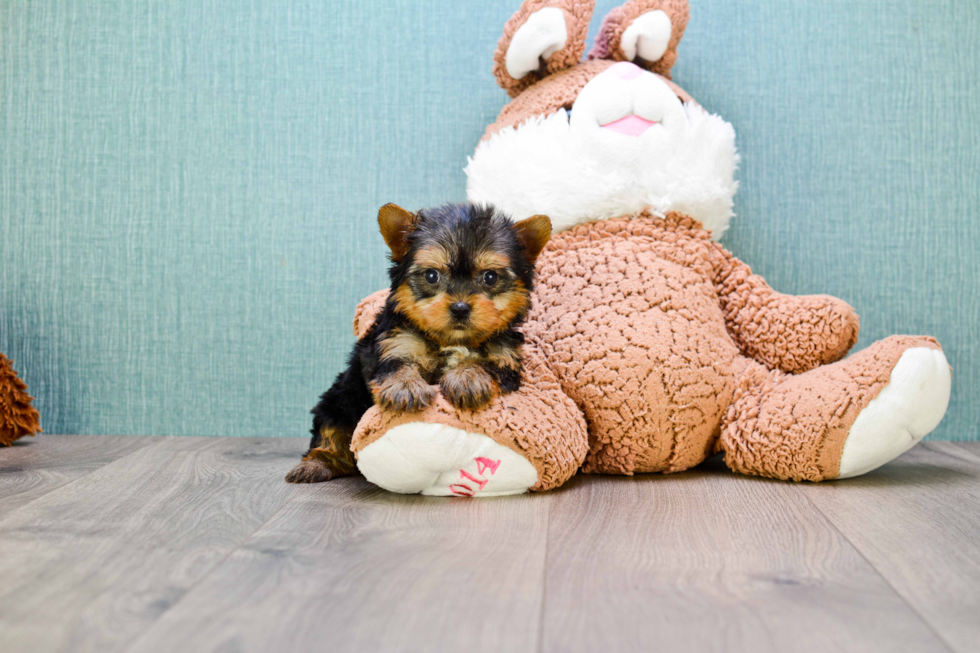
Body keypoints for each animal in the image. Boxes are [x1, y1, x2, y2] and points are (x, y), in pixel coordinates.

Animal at [288, 204, 556, 484]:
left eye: (490, 277)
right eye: (431, 275)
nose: (460, 308)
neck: (450, 340)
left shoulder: (505, 357)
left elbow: (484, 364)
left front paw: (467, 378)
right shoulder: (393, 343)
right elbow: (397, 365)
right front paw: (405, 388)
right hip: (339, 401)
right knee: (331, 432)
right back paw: (316, 463)